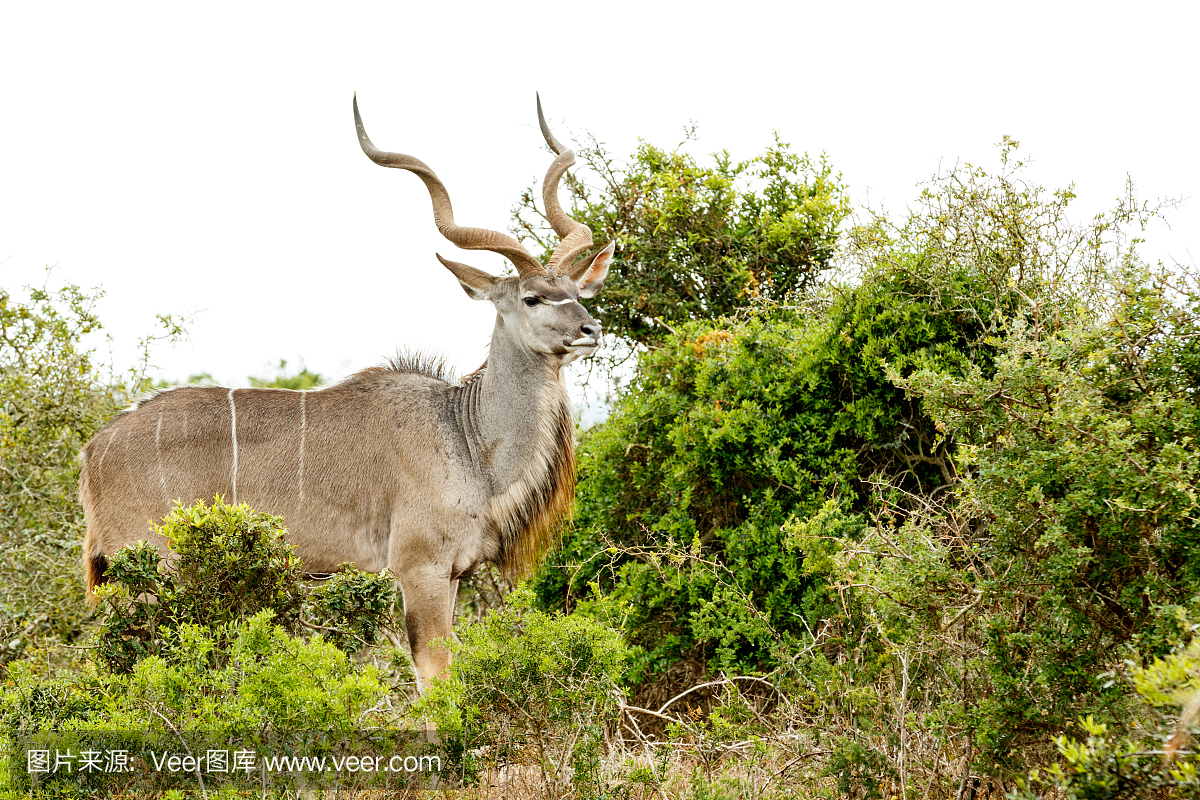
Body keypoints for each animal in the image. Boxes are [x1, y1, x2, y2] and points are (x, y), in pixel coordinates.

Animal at [79, 95, 614, 690]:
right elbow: (433, 672)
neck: (467, 437)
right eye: (533, 297)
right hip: (148, 570)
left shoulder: (453, 572)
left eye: (578, 291)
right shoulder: (419, 566)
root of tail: (93, 450)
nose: (589, 330)